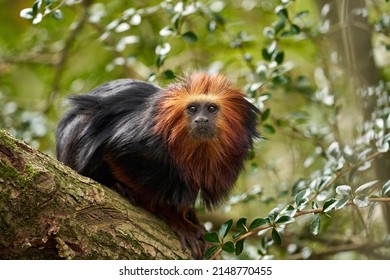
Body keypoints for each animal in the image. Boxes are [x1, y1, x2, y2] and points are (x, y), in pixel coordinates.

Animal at [56, 71, 258, 258]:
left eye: (211, 109)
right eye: (192, 109)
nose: (201, 120)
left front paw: (185, 217)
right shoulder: (144, 137)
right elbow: (113, 153)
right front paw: (171, 216)